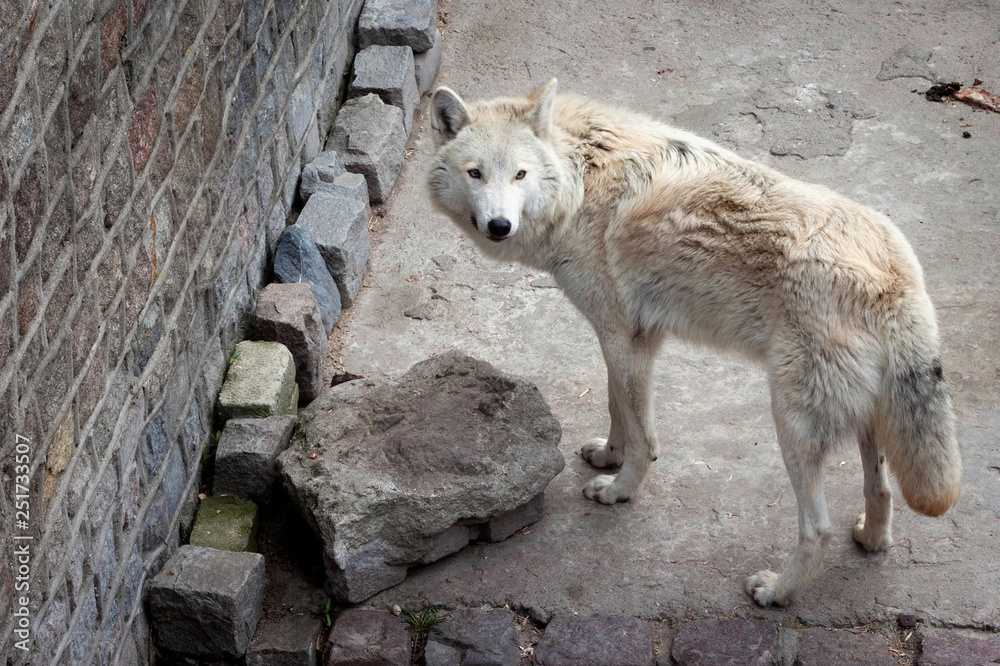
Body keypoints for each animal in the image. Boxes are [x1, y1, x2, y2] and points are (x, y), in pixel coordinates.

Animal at [426, 79, 962, 606]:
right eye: (476, 174)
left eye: (519, 175)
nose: (499, 226)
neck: (580, 182)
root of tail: (900, 277)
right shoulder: (625, 339)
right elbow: (616, 408)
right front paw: (607, 455)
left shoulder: (624, 339)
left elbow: (643, 438)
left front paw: (620, 490)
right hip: (866, 420)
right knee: (882, 492)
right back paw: (870, 539)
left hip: (791, 424)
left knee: (819, 530)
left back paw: (776, 591)